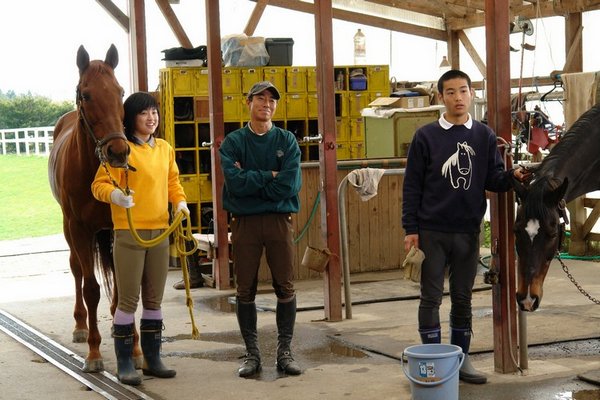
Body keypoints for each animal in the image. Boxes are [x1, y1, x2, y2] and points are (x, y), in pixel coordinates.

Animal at [48, 44, 139, 372]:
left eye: (120, 91)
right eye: (86, 94)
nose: (118, 151)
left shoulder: (116, 229)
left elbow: (123, 285)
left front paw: (134, 349)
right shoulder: (79, 229)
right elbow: (91, 289)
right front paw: (94, 353)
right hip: (69, 229)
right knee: (76, 269)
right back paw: (79, 326)